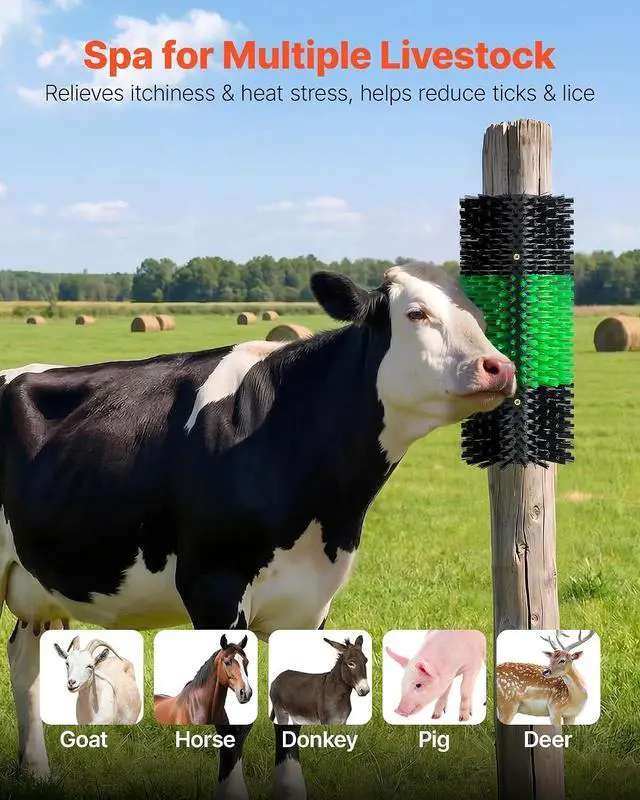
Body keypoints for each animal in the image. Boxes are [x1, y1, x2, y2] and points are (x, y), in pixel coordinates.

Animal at [0, 263, 515, 800]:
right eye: (416, 313)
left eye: (479, 315)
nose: (500, 367)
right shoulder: (213, 588)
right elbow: (234, 719)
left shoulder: (312, 598)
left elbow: (290, 714)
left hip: (35, 583)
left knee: (25, 660)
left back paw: (36, 769)